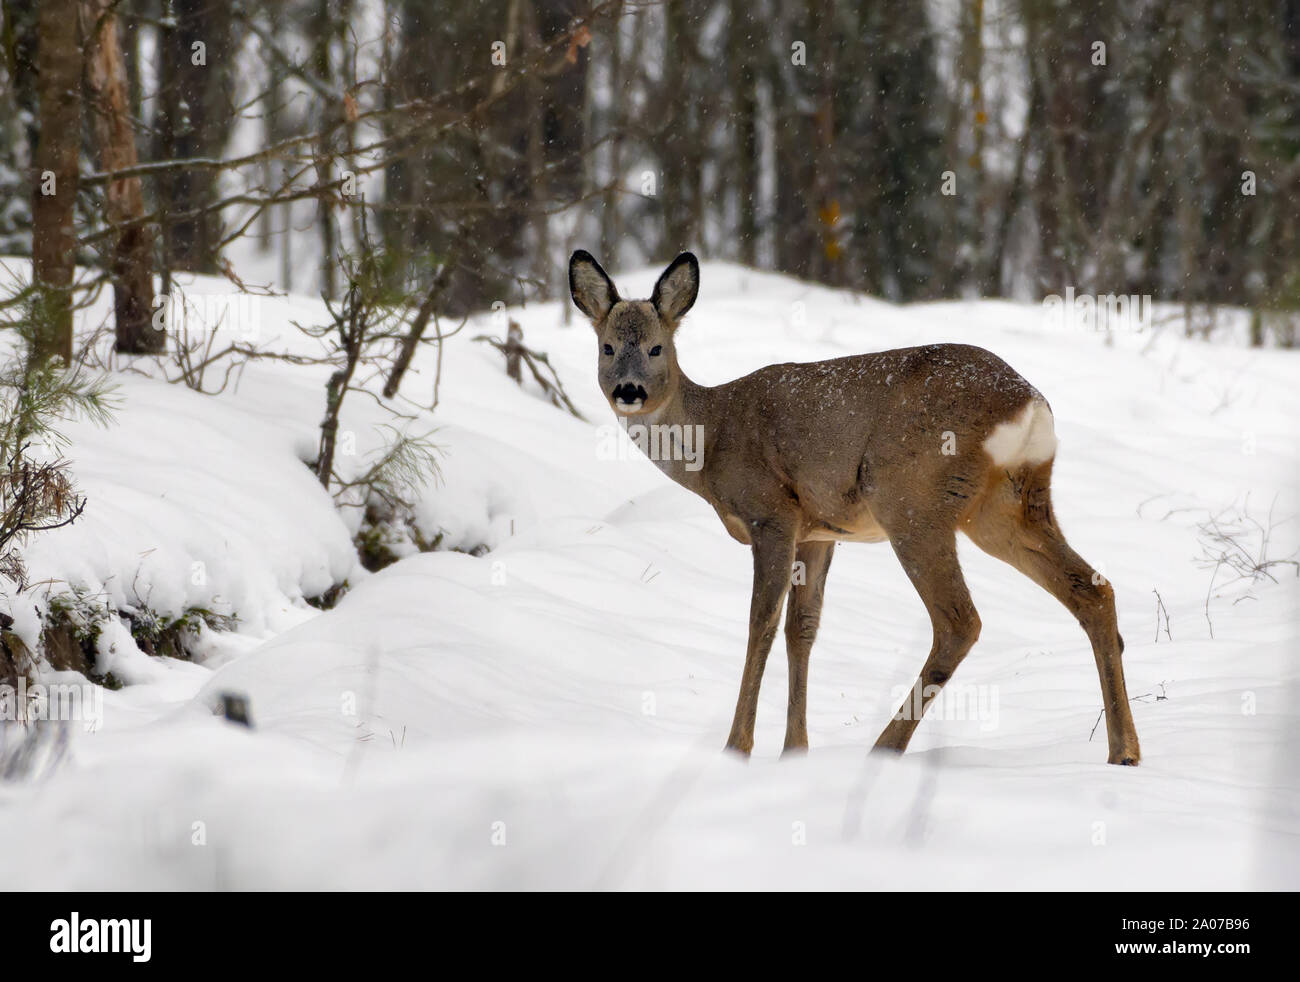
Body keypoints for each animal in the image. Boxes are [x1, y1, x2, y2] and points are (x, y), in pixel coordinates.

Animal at [569, 249, 1138, 764]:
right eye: (607, 346)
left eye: (657, 348)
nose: (628, 390)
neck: (713, 440)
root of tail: (1028, 405)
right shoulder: (819, 531)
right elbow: (802, 630)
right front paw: (794, 751)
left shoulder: (771, 512)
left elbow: (761, 623)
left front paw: (737, 748)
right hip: (1007, 508)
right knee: (1094, 590)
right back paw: (1124, 751)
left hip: (912, 501)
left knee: (960, 621)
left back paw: (885, 747)